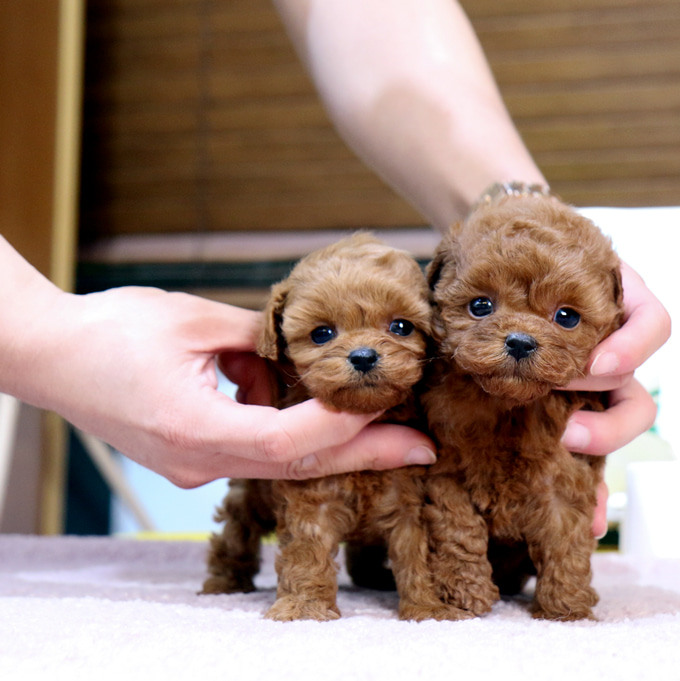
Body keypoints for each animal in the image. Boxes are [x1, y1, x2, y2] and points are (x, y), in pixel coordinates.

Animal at [202, 232, 497, 621]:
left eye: (401, 327)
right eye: (321, 334)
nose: (363, 356)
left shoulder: (410, 501)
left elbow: (417, 555)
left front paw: (428, 607)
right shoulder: (311, 496)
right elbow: (307, 552)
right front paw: (305, 606)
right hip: (253, 490)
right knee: (237, 530)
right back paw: (224, 581)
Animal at [422, 189, 624, 620]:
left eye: (566, 316)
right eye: (480, 306)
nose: (519, 341)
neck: (510, 404)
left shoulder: (566, 478)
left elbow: (567, 541)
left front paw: (565, 608)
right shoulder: (447, 473)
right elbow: (457, 530)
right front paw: (466, 594)